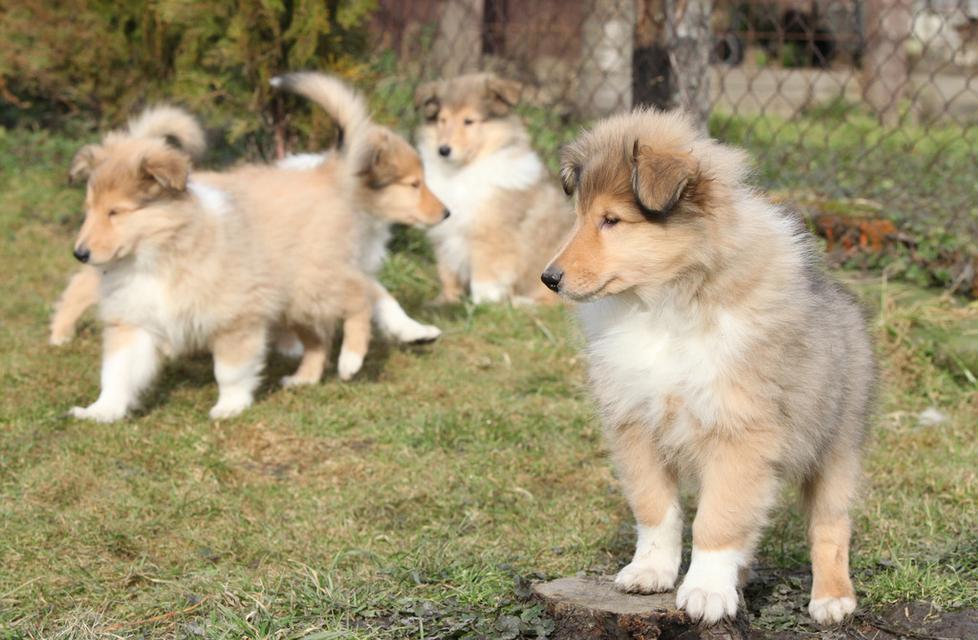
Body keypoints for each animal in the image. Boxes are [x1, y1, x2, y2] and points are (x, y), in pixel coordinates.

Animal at [414, 74, 572, 304]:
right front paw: (446, 301)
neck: (462, 171)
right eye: (442, 120)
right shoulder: (445, 235)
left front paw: (483, 304)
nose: (443, 150)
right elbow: (447, 271)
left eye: (469, 121)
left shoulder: (491, 235)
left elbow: (485, 277)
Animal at [540, 109, 876, 624]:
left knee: (830, 527)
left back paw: (832, 598)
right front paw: (651, 571)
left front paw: (705, 591)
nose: (548, 278)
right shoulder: (634, 424)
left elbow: (717, 521)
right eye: (579, 216)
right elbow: (656, 508)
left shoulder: (741, 432)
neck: (664, 304)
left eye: (612, 220)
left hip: (837, 445)